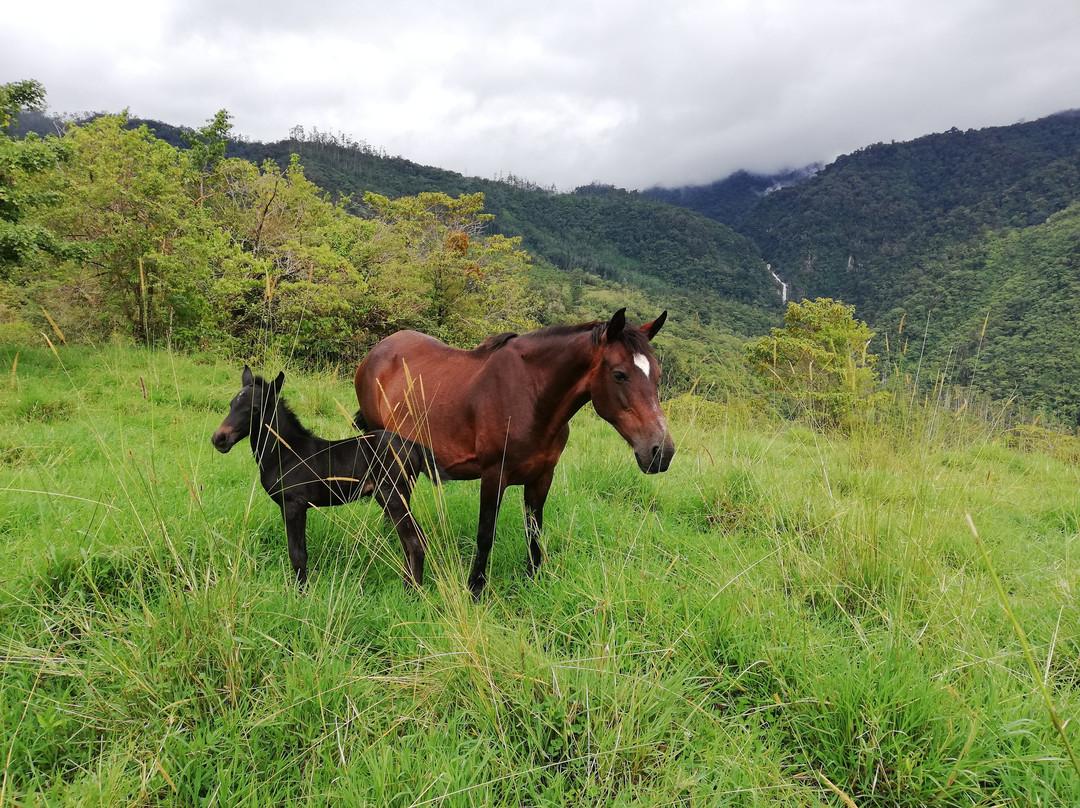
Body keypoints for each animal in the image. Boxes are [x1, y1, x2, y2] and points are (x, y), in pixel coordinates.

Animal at [212, 367, 440, 587]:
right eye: (231, 404)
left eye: (255, 408)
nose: (219, 439)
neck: (285, 453)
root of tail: (414, 446)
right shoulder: (290, 507)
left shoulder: (294, 505)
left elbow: (297, 554)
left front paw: (300, 592)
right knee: (413, 540)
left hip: (392, 495)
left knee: (414, 542)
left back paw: (413, 591)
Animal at [354, 306, 673, 596]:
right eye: (620, 374)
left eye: (657, 375)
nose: (661, 452)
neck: (530, 399)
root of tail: (378, 350)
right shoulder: (494, 476)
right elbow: (485, 534)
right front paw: (475, 588)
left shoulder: (542, 477)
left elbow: (534, 531)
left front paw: (534, 579)